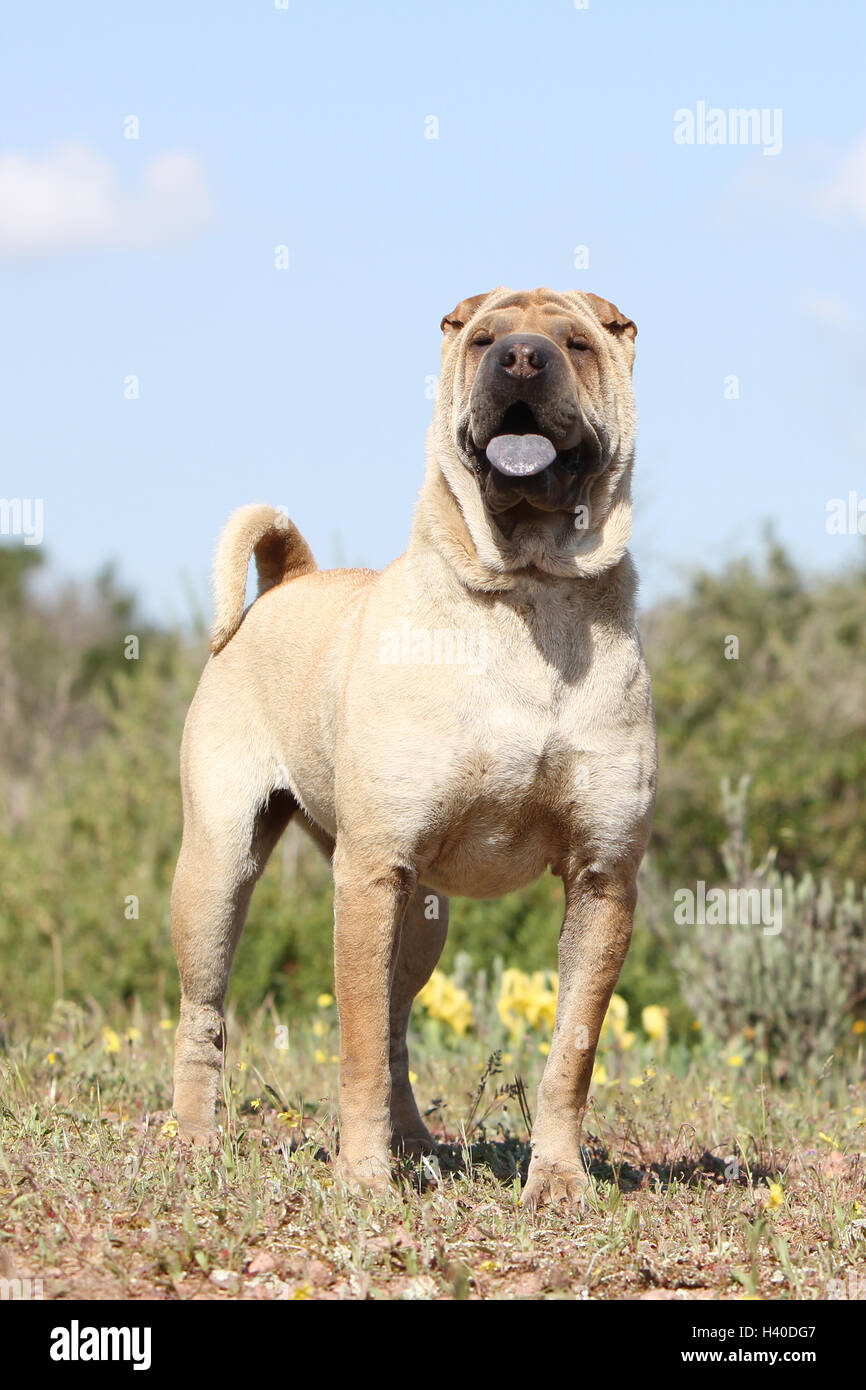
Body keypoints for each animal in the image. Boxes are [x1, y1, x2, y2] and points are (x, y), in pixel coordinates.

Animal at [170, 290, 656, 1206]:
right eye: (483, 339)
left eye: (576, 343)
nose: (524, 359)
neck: (528, 592)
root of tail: (287, 581)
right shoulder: (369, 872)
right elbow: (356, 1044)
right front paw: (362, 1179)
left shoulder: (602, 876)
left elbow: (569, 1055)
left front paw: (557, 1181)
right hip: (218, 868)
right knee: (205, 1013)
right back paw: (194, 1144)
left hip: (423, 915)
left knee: (397, 1028)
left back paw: (419, 1147)